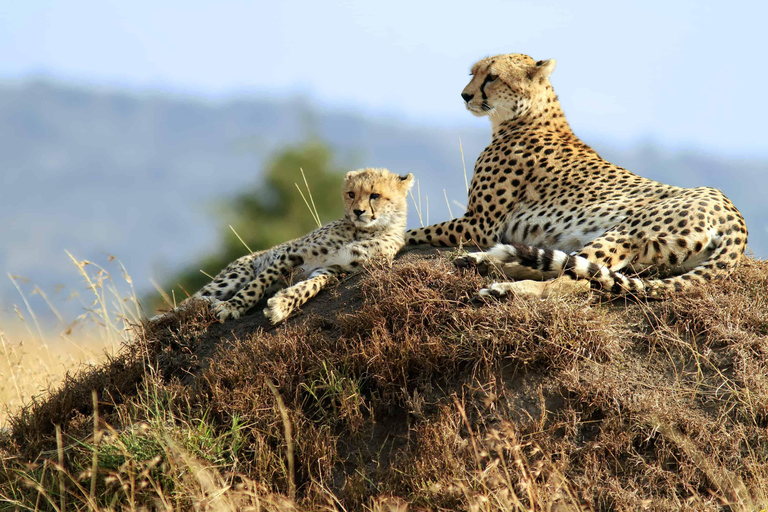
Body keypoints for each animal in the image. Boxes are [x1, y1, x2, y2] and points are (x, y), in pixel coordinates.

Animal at [404, 54, 748, 298]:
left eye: (492, 77)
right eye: (472, 73)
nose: (465, 95)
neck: (527, 115)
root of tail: (733, 214)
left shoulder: (480, 224)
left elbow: (415, 231)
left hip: (625, 232)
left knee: (573, 280)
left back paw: (502, 286)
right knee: (567, 269)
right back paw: (486, 263)